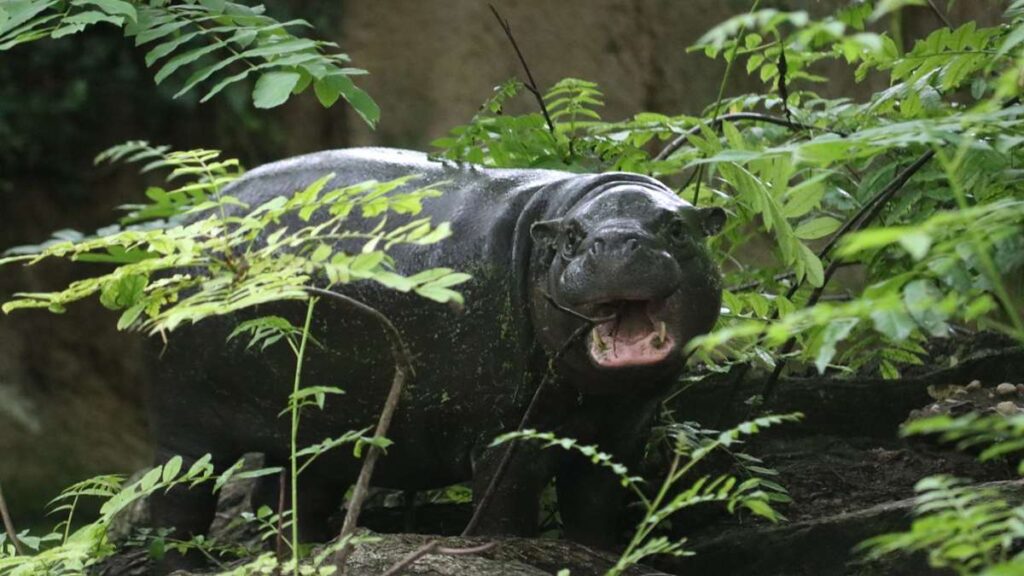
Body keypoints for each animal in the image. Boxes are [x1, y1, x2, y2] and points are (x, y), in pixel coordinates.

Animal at [147, 148, 724, 554]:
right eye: (571, 239)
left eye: (678, 228)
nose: (616, 242)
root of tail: (182, 222)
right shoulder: (506, 435)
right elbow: (505, 510)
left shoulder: (621, 433)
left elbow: (596, 509)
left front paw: (599, 553)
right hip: (184, 426)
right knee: (177, 503)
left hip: (315, 426)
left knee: (290, 499)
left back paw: (303, 552)